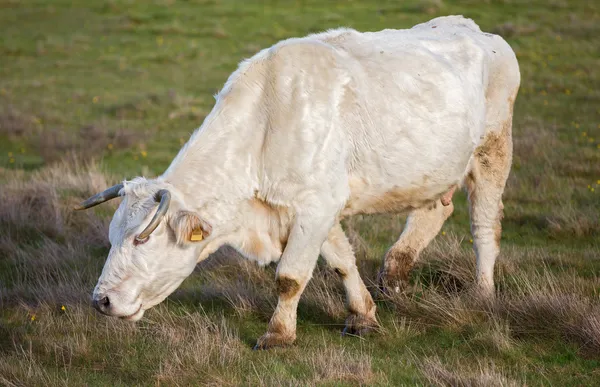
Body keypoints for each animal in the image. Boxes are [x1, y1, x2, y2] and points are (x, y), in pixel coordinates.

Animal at [77, 15, 516, 350]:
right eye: (113, 236)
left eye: (141, 240)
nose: (102, 301)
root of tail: (477, 30)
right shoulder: (320, 206)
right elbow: (341, 261)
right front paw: (363, 314)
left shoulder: (315, 205)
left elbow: (289, 277)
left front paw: (278, 334)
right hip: (435, 169)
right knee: (435, 211)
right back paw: (393, 273)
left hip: (493, 150)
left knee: (484, 226)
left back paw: (481, 294)